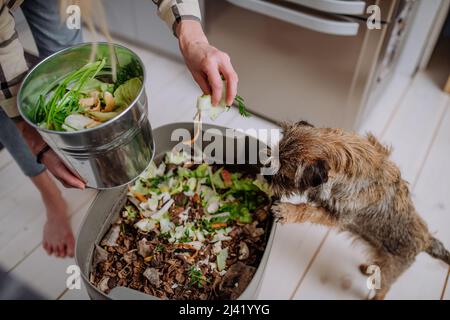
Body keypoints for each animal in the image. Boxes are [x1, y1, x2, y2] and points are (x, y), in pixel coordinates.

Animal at [270, 120, 450, 300]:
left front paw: (288, 211)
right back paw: (368, 267)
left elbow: (308, 210)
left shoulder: (337, 217)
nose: (266, 176)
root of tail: (427, 240)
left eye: (284, 177)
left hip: (390, 269)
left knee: (384, 289)